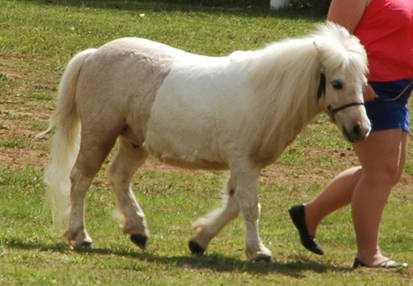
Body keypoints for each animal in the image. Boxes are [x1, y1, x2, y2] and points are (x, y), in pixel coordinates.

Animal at [39, 22, 370, 262]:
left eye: (363, 82)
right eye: (337, 83)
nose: (361, 129)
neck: (262, 93)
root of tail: (94, 54)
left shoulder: (246, 165)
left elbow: (234, 204)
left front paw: (199, 240)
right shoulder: (244, 162)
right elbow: (250, 206)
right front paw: (259, 252)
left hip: (134, 142)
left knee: (118, 177)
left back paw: (138, 230)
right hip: (99, 134)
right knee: (80, 179)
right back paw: (80, 235)